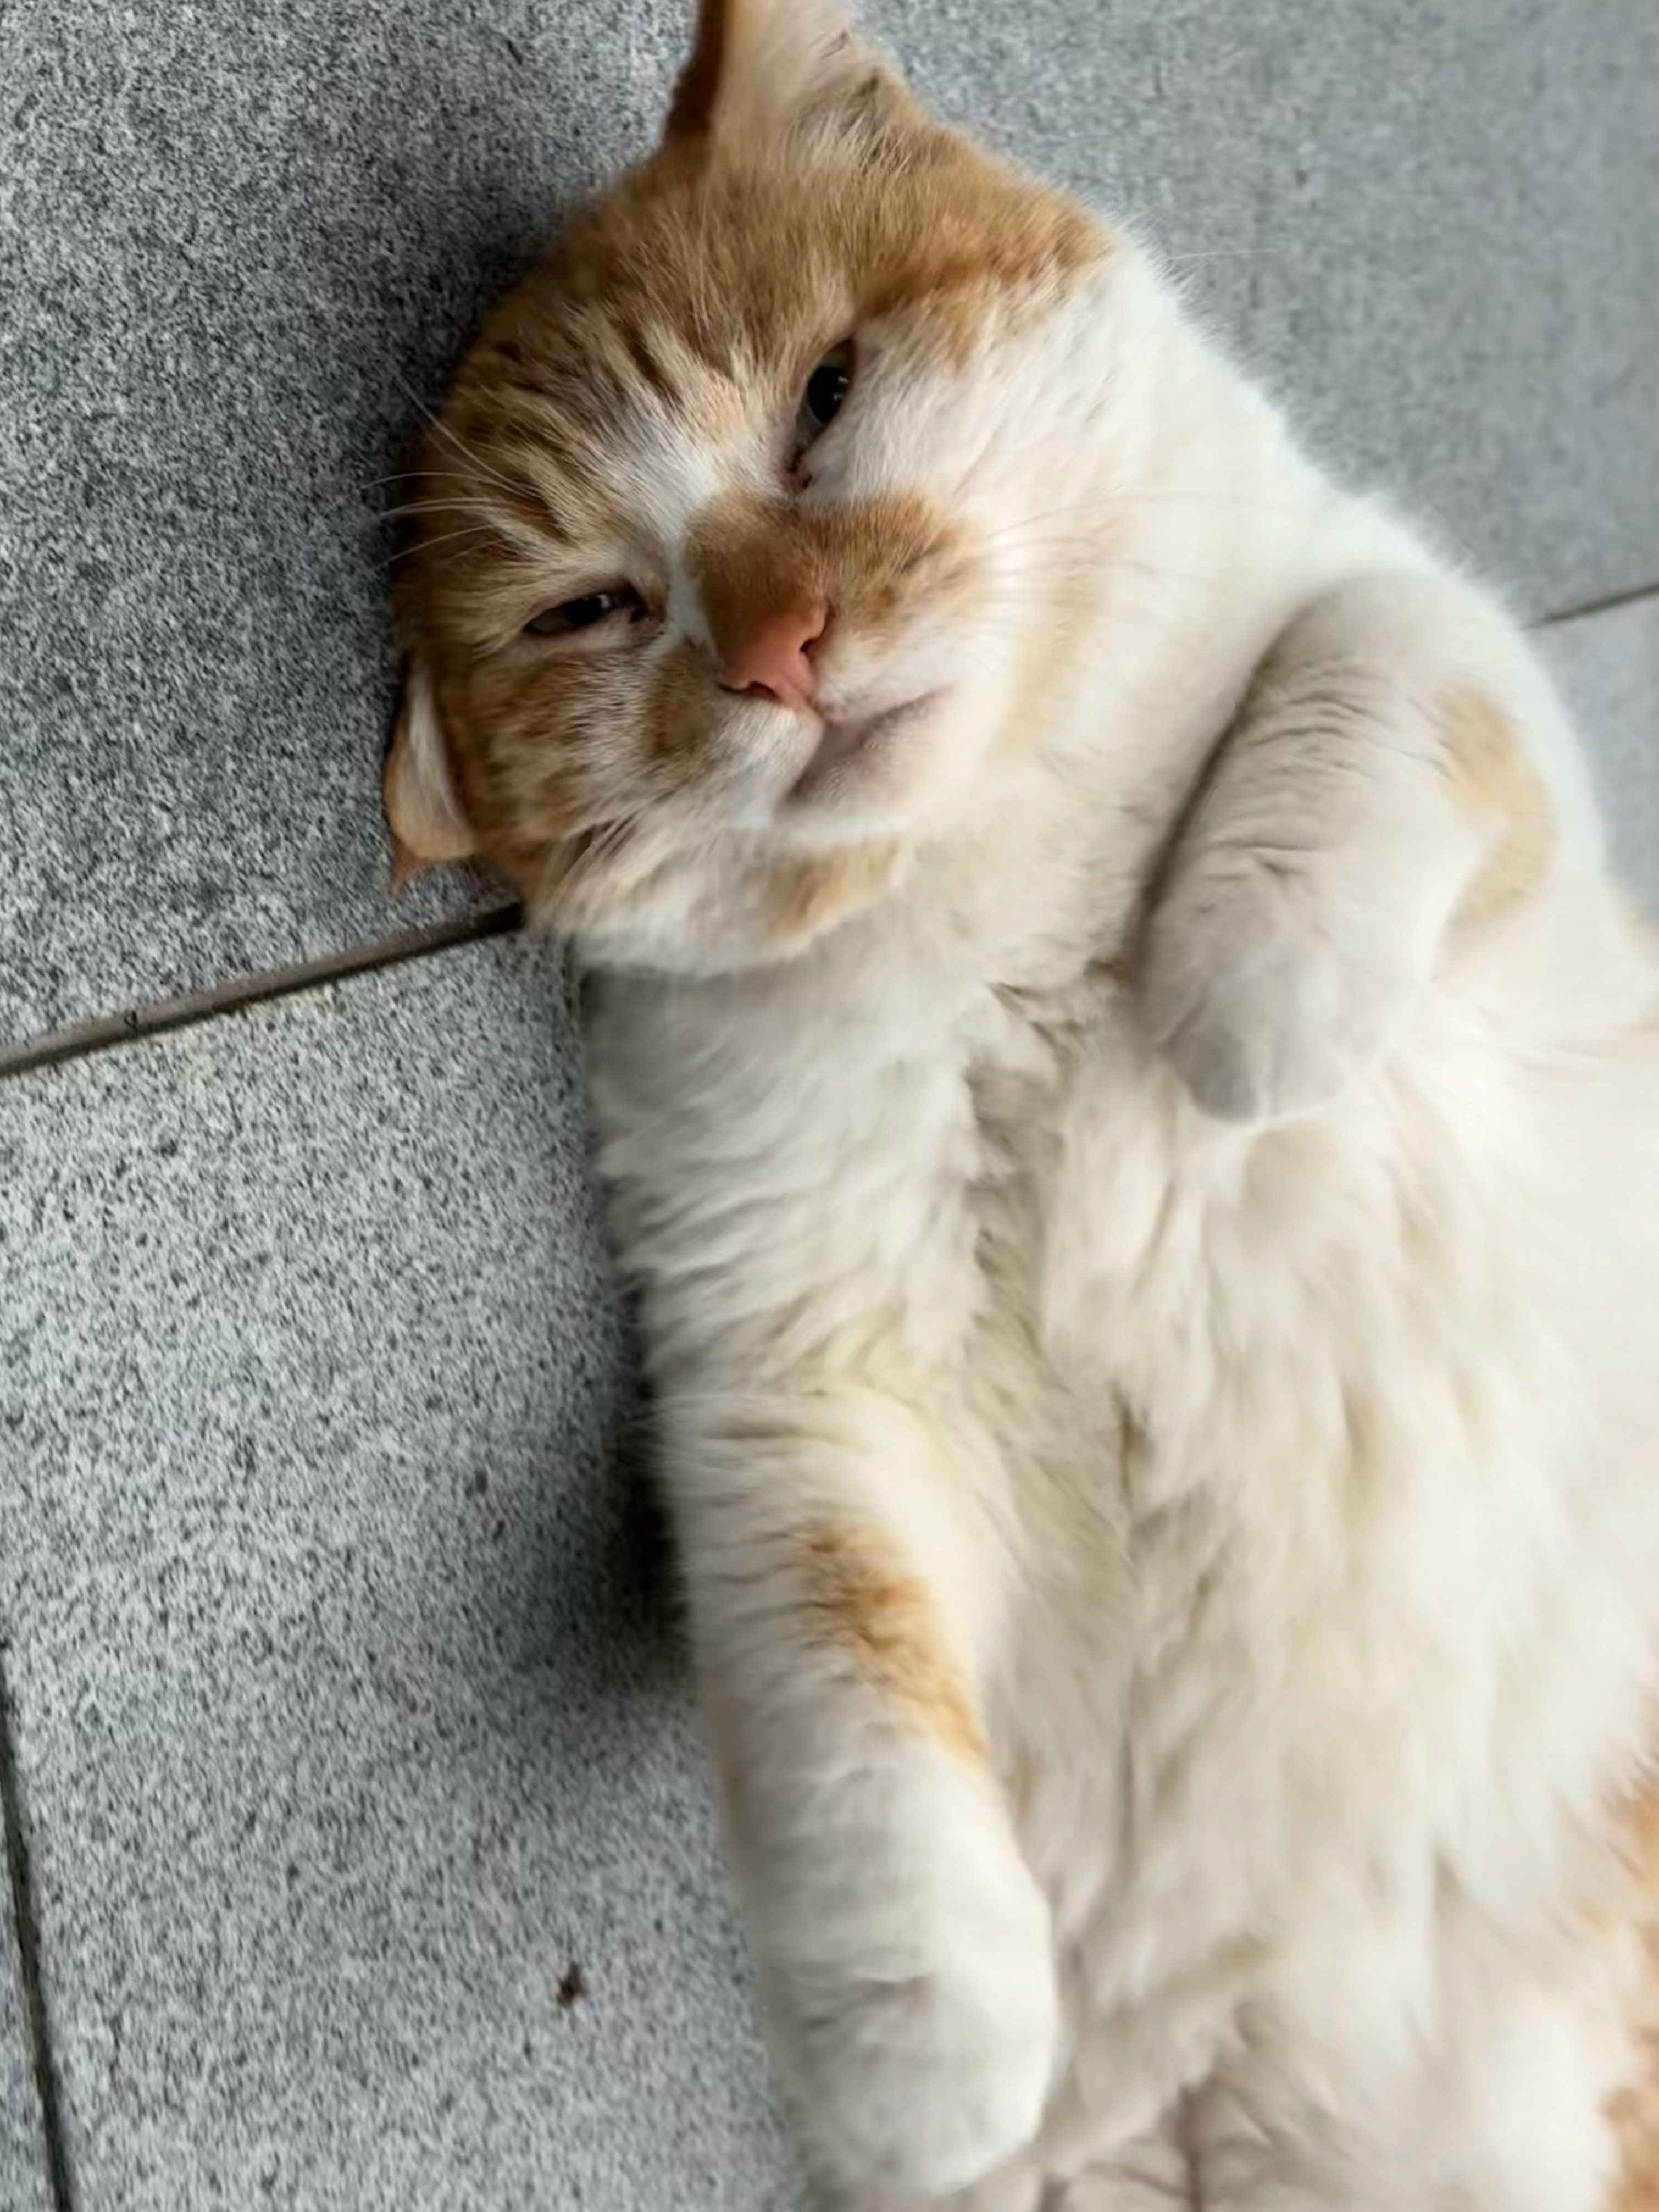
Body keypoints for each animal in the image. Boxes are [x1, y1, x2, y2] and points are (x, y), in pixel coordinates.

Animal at [381, 1, 1659, 2203]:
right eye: (590, 611)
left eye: (822, 397)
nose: (785, 648)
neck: (1004, 898)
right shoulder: (788, 1381)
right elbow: (840, 1683)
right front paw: (917, 2051)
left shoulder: (1497, 775)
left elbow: (1381, 658)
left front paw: (1239, 988)